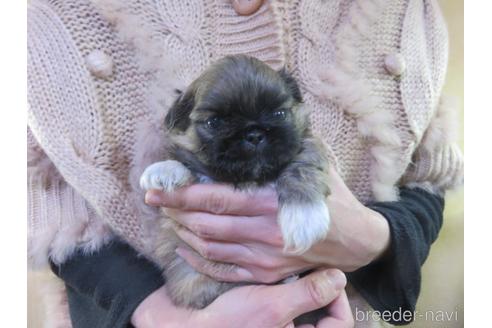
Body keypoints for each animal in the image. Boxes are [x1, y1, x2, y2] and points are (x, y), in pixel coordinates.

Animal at [139, 55, 330, 308]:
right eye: (215, 122)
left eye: (279, 114)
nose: (254, 134)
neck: (249, 177)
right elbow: (189, 163)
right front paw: (164, 170)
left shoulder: (307, 145)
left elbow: (300, 168)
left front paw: (305, 218)